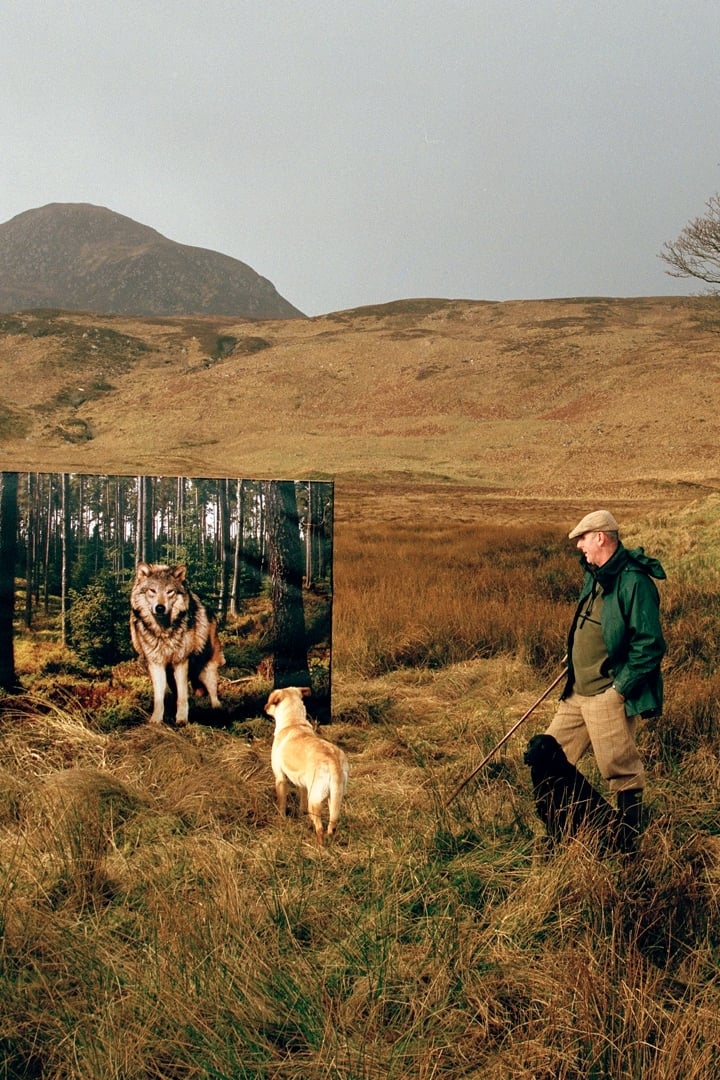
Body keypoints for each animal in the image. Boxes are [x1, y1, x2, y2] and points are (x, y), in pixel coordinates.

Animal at [130, 565, 225, 725]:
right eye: (152, 591)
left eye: (170, 591)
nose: (160, 607)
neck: (164, 631)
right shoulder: (156, 664)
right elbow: (159, 698)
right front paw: (156, 720)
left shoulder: (181, 661)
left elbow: (182, 696)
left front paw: (181, 719)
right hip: (171, 675)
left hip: (207, 668)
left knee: (213, 693)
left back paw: (217, 711)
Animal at [264, 686, 349, 846]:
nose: (264, 708)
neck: (294, 722)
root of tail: (332, 760)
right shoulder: (302, 785)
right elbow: (301, 804)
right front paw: (301, 816)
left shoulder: (280, 778)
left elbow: (281, 804)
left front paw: (281, 819)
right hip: (335, 798)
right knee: (332, 825)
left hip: (315, 799)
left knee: (320, 828)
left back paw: (320, 847)